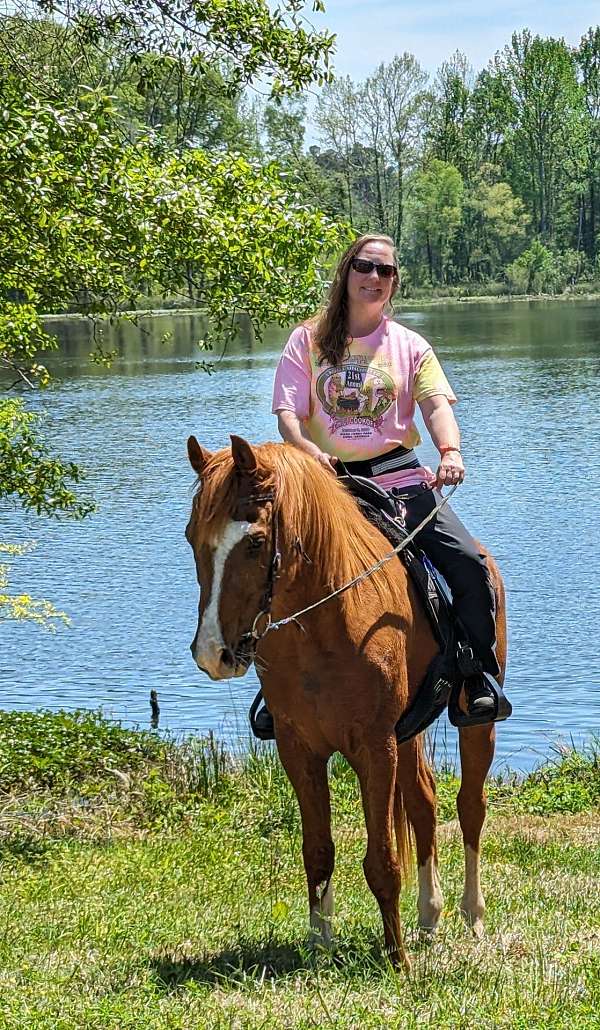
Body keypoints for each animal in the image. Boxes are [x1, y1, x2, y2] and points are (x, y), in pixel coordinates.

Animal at [185, 432, 504, 964]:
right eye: (192, 537)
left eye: (254, 542)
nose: (214, 653)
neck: (325, 621)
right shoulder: (299, 748)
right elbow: (318, 852)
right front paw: (319, 946)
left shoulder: (374, 746)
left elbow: (382, 861)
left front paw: (397, 960)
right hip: (410, 732)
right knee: (423, 802)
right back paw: (429, 917)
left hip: (475, 724)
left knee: (470, 807)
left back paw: (472, 916)